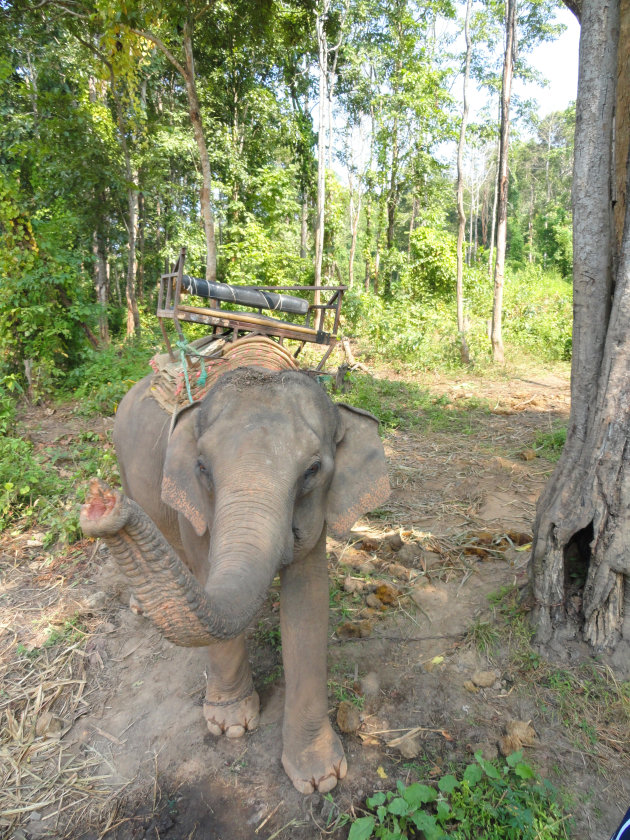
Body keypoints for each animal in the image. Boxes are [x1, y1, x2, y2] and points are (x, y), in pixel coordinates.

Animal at [80, 366, 390, 796]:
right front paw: (230, 726)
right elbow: (204, 572)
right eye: (202, 466)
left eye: (312, 470)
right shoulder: (193, 506)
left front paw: (320, 778)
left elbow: (308, 600)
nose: (100, 503)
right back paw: (140, 605)